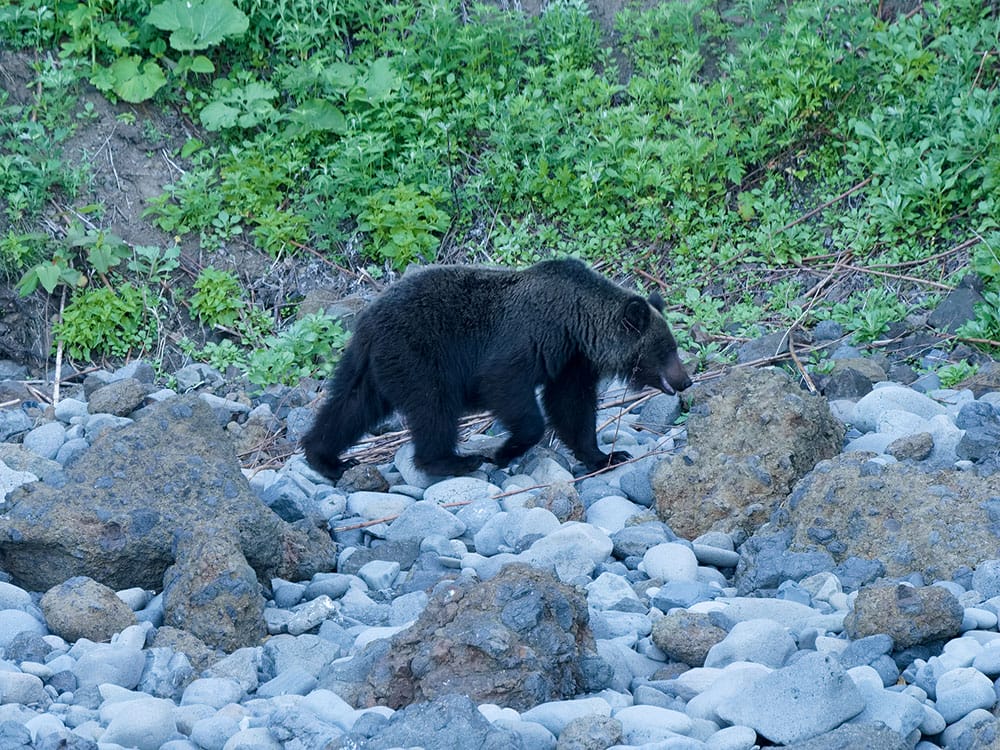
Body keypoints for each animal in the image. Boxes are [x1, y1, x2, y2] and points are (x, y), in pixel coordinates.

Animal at [298, 258, 688, 482]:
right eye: (666, 349)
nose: (686, 380)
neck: (574, 323)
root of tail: (366, 321)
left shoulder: (570, 362)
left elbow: (572, 407)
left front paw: (607, 455)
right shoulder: (528, 338)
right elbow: (505, 385)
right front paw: (504, 452)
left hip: (378, 366)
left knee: (350, 406)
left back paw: (325, 458)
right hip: (419, 355)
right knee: (434, 407)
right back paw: (453, 461)